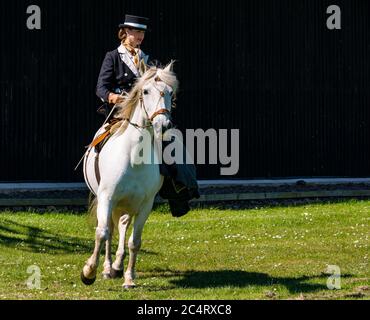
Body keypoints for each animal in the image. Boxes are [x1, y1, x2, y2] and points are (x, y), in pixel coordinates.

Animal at [81, 63, 179, 288]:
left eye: (170, 92)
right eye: (146, 91)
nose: (163, 125)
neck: (133, 157)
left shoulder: (145, 204)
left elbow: (135, 241)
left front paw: (129, 279)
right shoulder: (107, 198)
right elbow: (103, 232)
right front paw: (89, 272)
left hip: (127, 204)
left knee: (123, 224)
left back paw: (118, 266)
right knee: (110, 229)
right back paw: (108, 268)